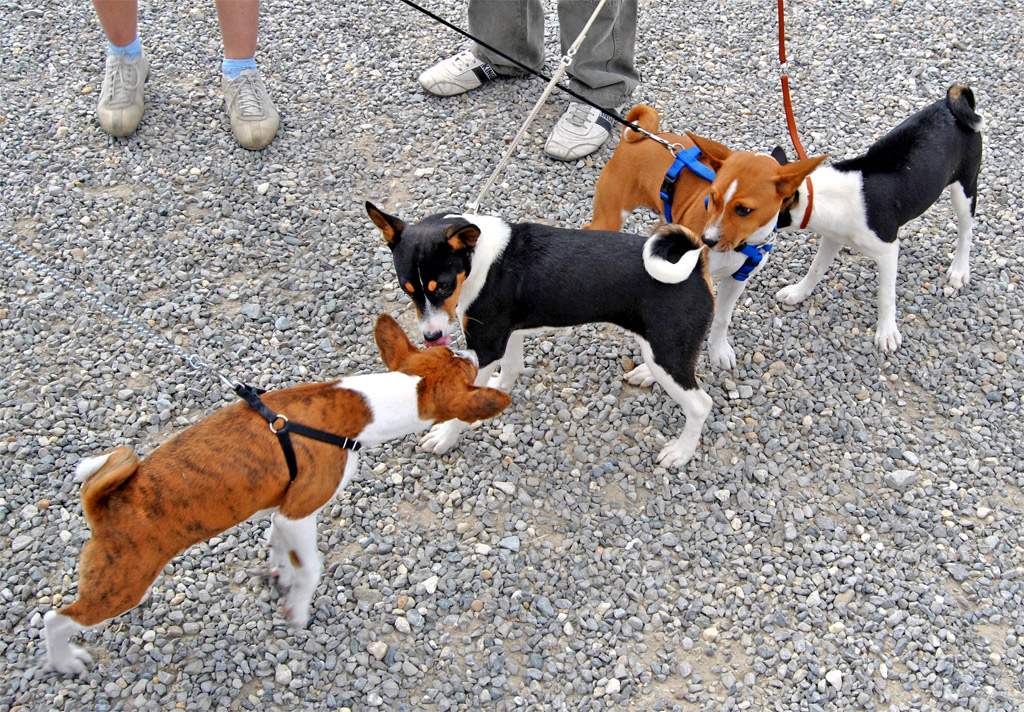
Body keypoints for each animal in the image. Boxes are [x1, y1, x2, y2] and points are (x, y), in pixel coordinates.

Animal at [44, 315, 507, 676]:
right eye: (467, 370)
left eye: (454, 355)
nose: (474, 351)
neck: (372, 403)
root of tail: (102, 507)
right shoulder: (299, 512)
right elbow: (312, 568)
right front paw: (298, 608)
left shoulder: (281, 511)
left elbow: (281, 548)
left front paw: (281, 573)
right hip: (122, 588)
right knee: (55, 618)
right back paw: (64, 660)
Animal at [366, 200, 712, 467]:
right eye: (407, 290)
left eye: (444, 286)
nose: (431, 336)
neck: (481, 259)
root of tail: (695, 267)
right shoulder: (507, 336)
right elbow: (509, 370)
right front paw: (494, 394)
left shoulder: (486, 345)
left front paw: (445, 436)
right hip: (663, 349)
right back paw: (645, 374)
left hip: (667, 351)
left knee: (700, 404)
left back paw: (681, 452)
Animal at [585, 107, 823, 372]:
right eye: (712, 197)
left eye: (744, 210)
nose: (706, 241)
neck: (741, 246)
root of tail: (644, 137)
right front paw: (649, 372)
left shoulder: (736, 279)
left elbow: (721, 318)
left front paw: (718, 350)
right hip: (612, 215)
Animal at [774, 85, 983, 352]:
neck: (818, 195)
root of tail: (951, 104)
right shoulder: (833, 237)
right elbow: (816, 269)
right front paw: (798, 292)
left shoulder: (886, 252)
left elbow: (886, 296)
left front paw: (887, 333)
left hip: (964, 187)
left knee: (966, 231)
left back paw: (959, 270)